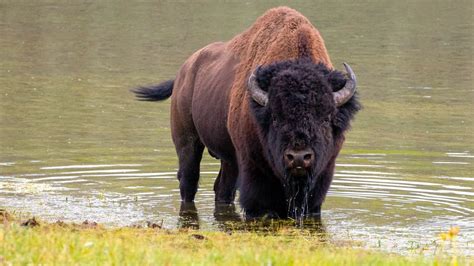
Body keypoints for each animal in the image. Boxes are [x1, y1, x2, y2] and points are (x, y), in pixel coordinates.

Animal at [133, 7, 360, 219]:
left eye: (326, 118)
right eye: (275, 118)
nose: (298, 157)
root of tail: (185, 71)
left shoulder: (322, 175)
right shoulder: (253, 171)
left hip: (229, 159)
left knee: (222, 189)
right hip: (187, 143)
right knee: (189, 181)